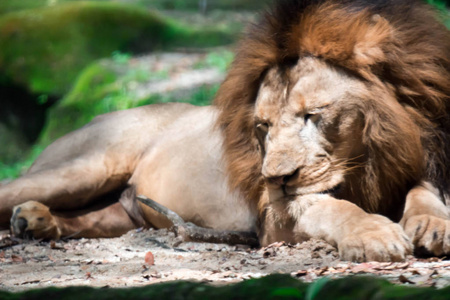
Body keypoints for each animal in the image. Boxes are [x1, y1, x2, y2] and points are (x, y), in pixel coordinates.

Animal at [0, 0, 450, 262]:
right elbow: (325, 205)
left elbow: (424, 190)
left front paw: (434, 225)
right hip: (85, 167)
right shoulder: (273, 219)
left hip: (120, 214)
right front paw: (374, 234)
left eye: (311, 115)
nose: (275, 178)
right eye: (263, 126)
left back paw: (35, 222)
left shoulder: (421, 158)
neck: (368, 161)